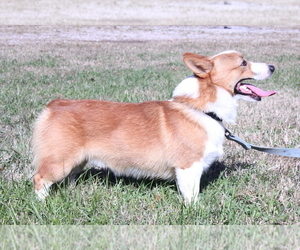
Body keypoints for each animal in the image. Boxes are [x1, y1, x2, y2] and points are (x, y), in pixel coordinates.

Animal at [31, 50, 276, 203]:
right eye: (243, 63)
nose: (273, 66)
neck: (202, 109)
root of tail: (55, 105)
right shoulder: (188, 167)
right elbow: (192, 195)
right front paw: (195, 211)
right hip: (60, 161)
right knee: (39, 179)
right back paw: (42, 205)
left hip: (77, 160)